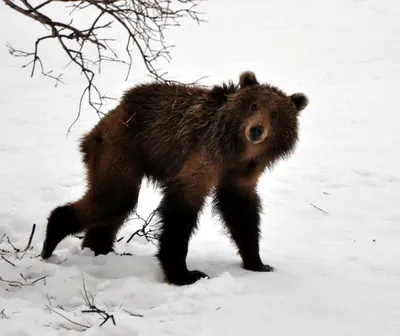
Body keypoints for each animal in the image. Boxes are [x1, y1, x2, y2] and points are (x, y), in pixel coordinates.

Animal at [41, 71, 310, 286]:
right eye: (253, 105)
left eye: (274, 113)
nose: (256, 129)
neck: (237, 150)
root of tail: (111, 114)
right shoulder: (204, 154)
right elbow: (181, 209)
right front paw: (185, 273)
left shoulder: (240, 173)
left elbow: (240, 211)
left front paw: (258, 262)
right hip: (121, 147)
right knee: (115, 198)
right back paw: (52, 239)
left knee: (114, 206)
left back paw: (101, 249)